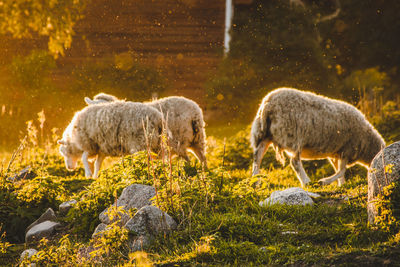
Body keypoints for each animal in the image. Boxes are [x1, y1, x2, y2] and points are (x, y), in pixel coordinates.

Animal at [252, 87, 386, 187]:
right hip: (292, 136)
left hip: (263, 134)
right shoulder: (347, 149)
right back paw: (306, 181)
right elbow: (341, 170)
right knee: (294, 162)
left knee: (257, 157)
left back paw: (255, 181)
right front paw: (324, 182)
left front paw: (341, 184)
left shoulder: (337, 153)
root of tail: (268, 104)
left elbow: (338, 170)